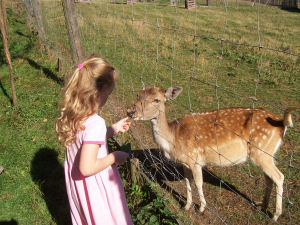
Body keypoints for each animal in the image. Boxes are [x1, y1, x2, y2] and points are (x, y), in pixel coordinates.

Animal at [126, 85, 292, 221]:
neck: (173, 139)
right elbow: (187, 181)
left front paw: (201, 208)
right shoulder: (185, 162)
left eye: (157, 100)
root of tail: (282, 124)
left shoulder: (195, 159)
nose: (131, 111)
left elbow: (198, 183)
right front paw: (186, 206)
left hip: (262, 152)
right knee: (269, 178)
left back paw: (275, 215)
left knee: (279, 177)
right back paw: (262, 206)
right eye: (138, 95)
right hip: (266, 155)